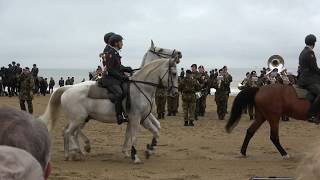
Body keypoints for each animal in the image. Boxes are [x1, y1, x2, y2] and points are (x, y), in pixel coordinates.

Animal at [39, 58, 179, 163]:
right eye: (173, 73)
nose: (175, 93)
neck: (141, 88)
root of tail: (68, 88)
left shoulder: (142, 119)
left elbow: (153, 132)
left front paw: (146, 150)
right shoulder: (136, 118)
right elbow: (134, 136)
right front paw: (135, 156)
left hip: (80, 119)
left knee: (70, 132)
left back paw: (78, 151)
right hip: (78, 119)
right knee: (69, 132)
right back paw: (72, 153)